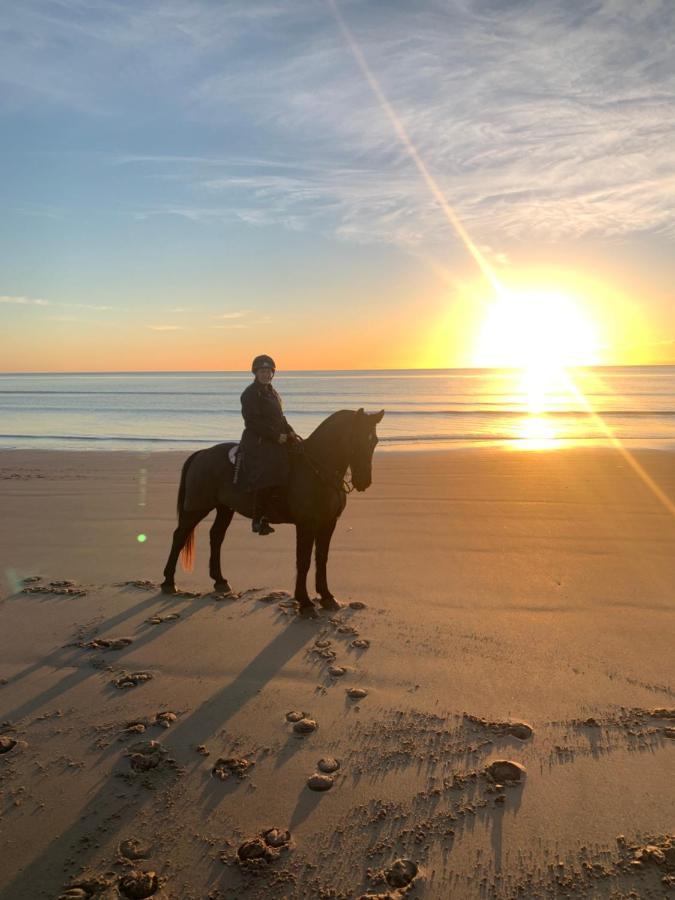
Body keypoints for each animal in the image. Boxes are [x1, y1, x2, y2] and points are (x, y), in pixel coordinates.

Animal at [159, 410, 388, 616]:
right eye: (356, 439)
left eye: (374, 441)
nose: (364, 481)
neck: (318, 471)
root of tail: (202, 453)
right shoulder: (306, 524)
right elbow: (303, 561)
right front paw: (305, 602)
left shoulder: (328, 522)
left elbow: (321, 558)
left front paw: (326, 597)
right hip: (197, 508)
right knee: (179, 536)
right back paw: (168, 582)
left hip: (224, 508)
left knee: (216, 536)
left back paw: (220, 580)